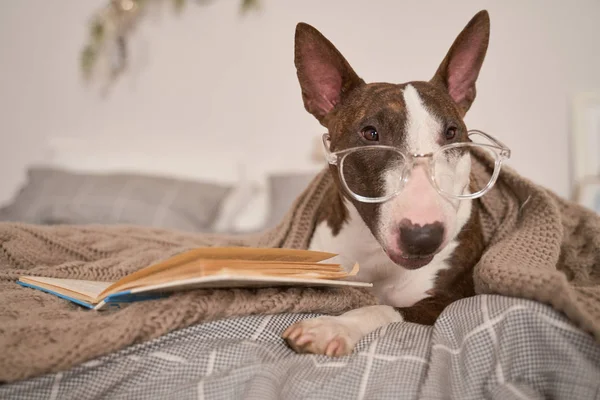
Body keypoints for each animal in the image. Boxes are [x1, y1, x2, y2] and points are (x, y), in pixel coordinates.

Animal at [284, 10, 490, 356]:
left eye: (451, 133)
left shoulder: (449, 300)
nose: (423, 237)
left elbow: (381, 308)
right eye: (371, 133)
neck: (373, 251)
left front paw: (332, 326)